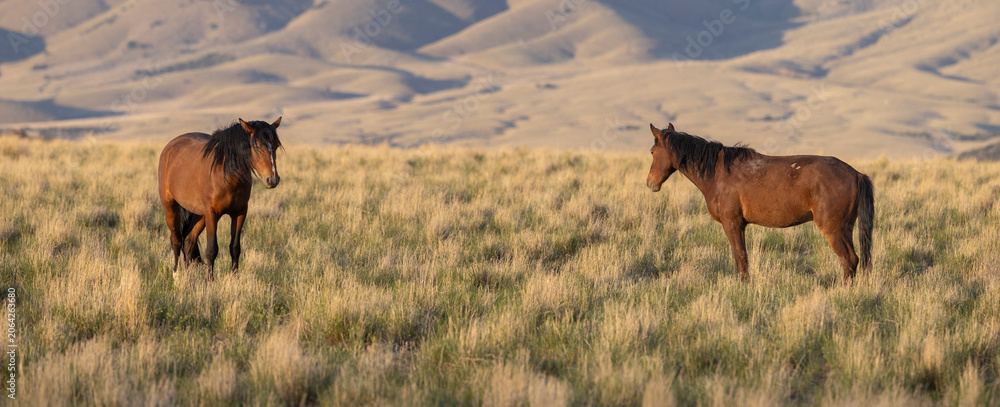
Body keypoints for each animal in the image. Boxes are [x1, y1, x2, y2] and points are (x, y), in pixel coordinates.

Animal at [157, 118, 283, 281]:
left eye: (275, 146)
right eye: (256, 146)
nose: (272, 179)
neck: (226, 175)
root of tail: (170, 146)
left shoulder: (239, 213)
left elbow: (235, 248)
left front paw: (235, 279)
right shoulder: (212, 214)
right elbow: (212, 249)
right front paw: (209, 281)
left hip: (199, 214)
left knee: (189, 240)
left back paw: (188, 273)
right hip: (171, 207)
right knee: (176, 240)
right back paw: (177, 274)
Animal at [646, 123, 874, 283]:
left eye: (652, 152)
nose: (650, 183)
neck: (718, 174)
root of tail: (856, 174)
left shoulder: (732, 224)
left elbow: (740, 258)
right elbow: (743, 258)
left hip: (832, 229)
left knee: (848, 260)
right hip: (846, 228)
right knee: (854, 260)